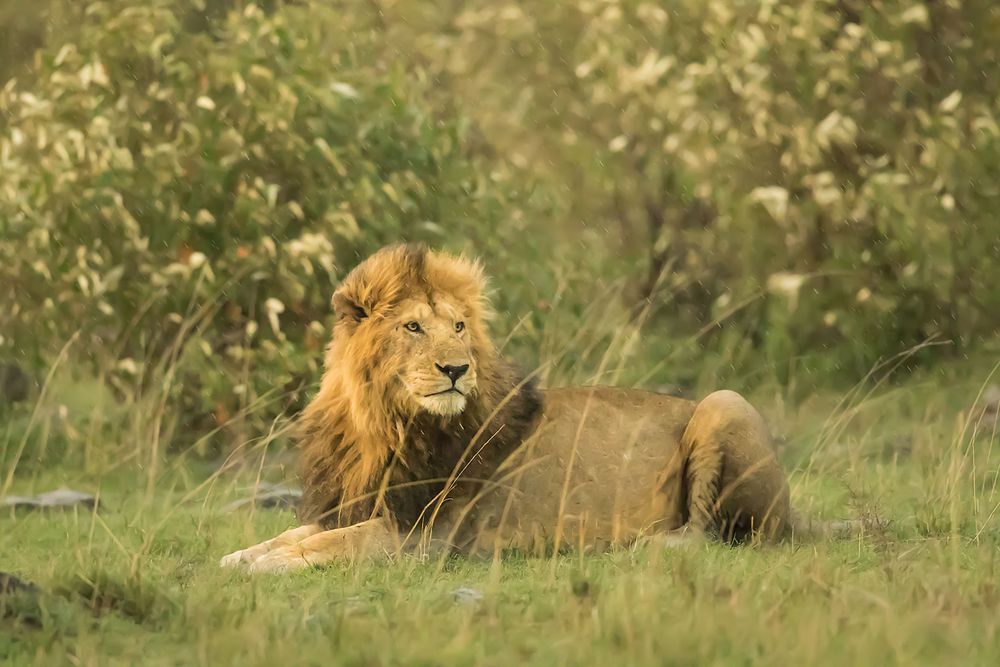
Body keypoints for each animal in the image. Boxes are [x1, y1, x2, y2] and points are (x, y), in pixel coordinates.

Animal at [223, 245, 792, 576]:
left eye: (458, 327)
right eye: (413, 327)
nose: (456, 368)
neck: (384, 426)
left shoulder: (425, 538)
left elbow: (329, 546)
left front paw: (267, 564)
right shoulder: (356, 504)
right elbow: (299, 534)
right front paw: (238, 555)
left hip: (724, 402)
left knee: (712, 537)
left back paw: (643, 546)